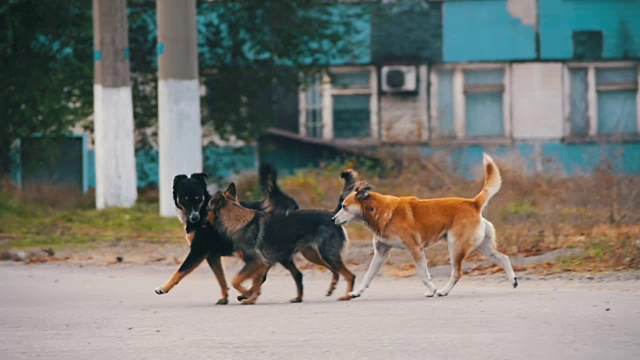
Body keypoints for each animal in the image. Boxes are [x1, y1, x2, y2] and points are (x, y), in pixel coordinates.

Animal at [208, 184, 356, 306]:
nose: (200, 220)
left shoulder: (256, 262)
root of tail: (333, 215)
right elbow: (255, 283)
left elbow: (236, 280)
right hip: (313, 256)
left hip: (327, 255)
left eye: (206, 208)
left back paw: (346, 296)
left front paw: (246, 294)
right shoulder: (261, 264)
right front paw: (250, 298)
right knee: (331, 271)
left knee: (349, 275)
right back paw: (321, 291)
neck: (237, 220)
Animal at [332, 155, 516, 298]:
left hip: (456, 247)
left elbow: (422, 274)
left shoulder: (415, 249)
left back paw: (443, 291)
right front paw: (356, 292)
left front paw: (432, 289)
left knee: (457, 273)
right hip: (480, 246)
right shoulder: (381, 253)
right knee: (503, 257)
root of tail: (473, 203)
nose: (333, 219)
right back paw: (513, 280)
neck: (382, 211)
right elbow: (368, 276)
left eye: (344, 206)